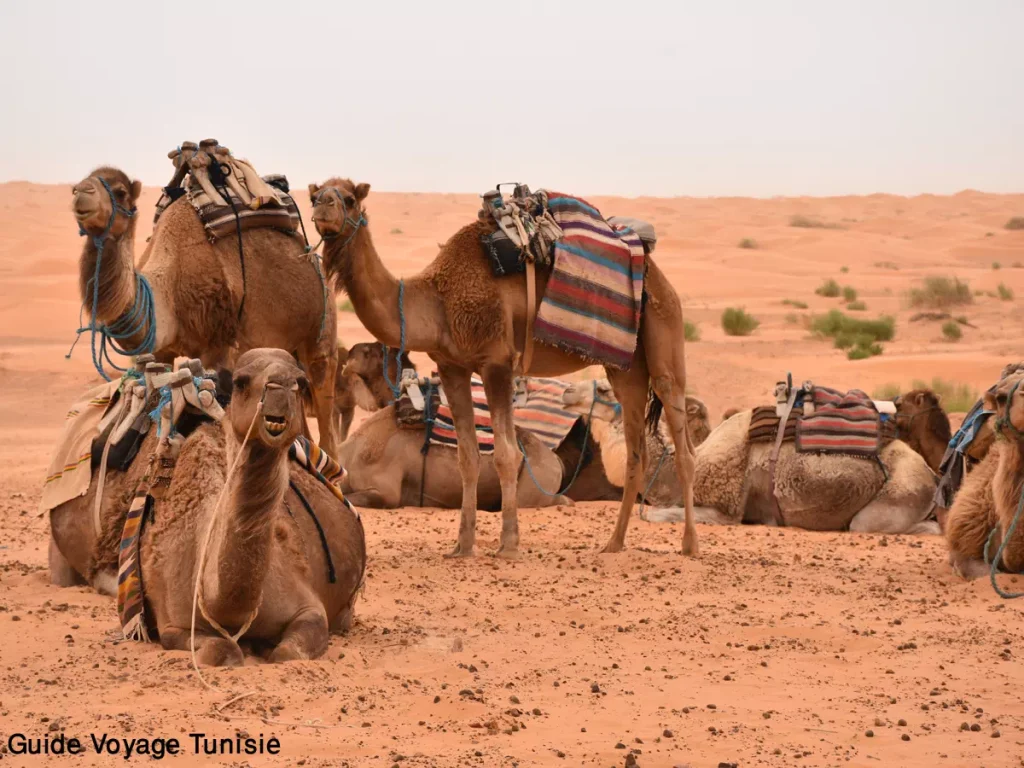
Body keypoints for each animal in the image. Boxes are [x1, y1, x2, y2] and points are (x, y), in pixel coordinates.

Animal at [74, 166, 344, 462]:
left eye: (121, 192)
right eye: (79, 184)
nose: (81, 193)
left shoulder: (219, 346)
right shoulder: (159, 349)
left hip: (321, 331)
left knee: (324, 405)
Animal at [307, 180, 700, 561]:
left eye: (348, 198)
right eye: (316, 193)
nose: (322, 207)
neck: (436, 301)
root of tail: (654, 271)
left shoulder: (497, 361)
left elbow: (507, 454)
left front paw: (509, 545)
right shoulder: (452, 366)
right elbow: (467, 457)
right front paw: (463, 547)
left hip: (665, 330)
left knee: (682, 440)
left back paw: (689, 545)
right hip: (625, 367)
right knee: (636, 452)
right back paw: (614, 544)